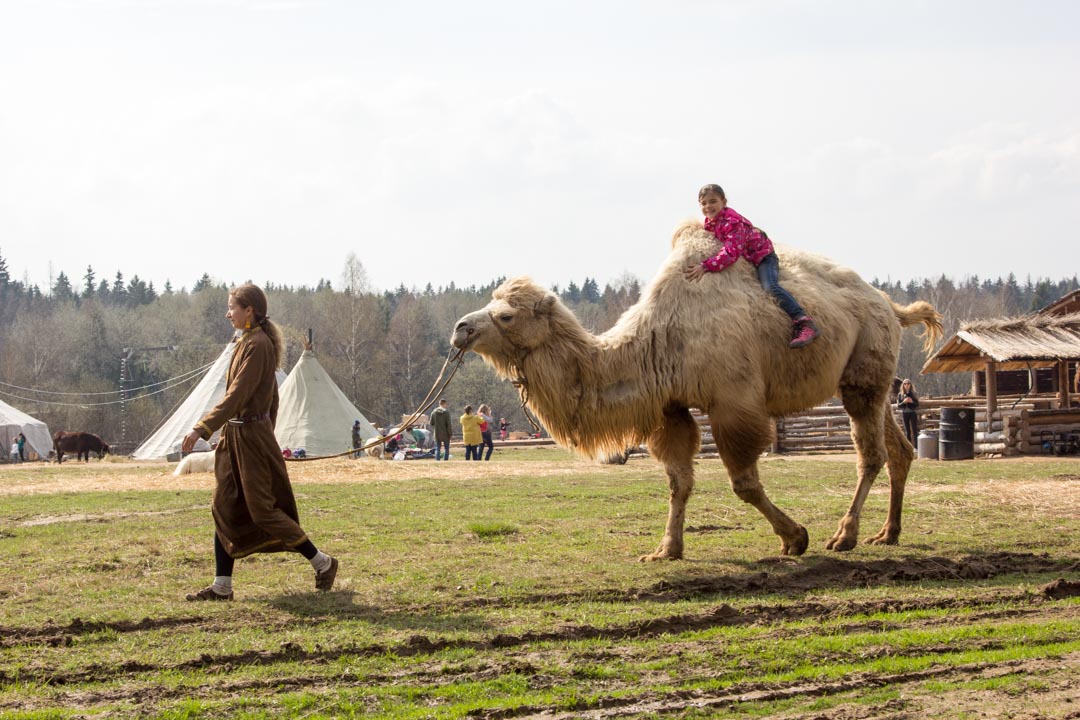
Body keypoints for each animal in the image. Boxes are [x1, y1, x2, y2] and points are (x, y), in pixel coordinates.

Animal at [451, 221, 941, 561]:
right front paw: (666, 550)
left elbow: (743, 482)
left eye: (506, 315)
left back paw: (845, 536)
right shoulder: (670, 408)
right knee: (899, 449)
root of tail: (887, 304)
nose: (461, 328)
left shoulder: (733, 402)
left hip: (864, 371)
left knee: (870, 452)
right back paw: (887, 533)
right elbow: (678, 480)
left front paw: (795, 538)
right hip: (877, 381)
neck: (657, 341)